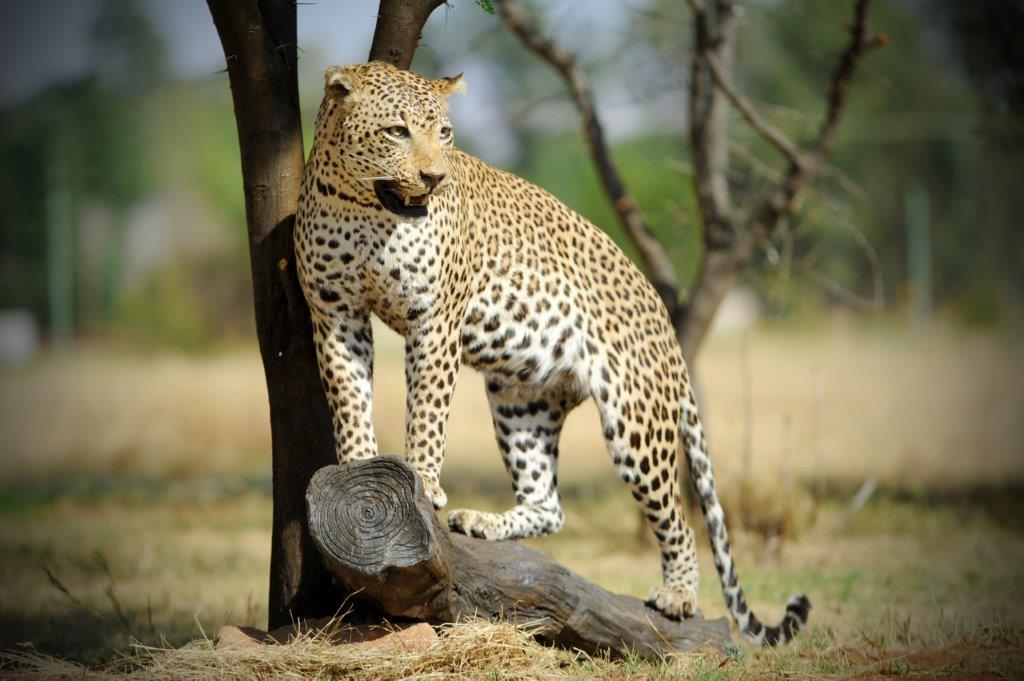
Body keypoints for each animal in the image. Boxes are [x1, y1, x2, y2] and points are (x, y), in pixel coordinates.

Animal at [294, 60, 810, 645]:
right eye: (397, 132)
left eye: (444, 134)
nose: (434, 178)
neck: (362, 207)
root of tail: (667, 326)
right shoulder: (335, 314)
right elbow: (349, 399)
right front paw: (358, 466)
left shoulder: (435, 321)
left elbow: (427, 412)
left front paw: (423, 481)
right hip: (521, 400)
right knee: (550, 504)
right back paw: (485, 522)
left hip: (635, 419)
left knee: (676, 519)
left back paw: (678, 596)